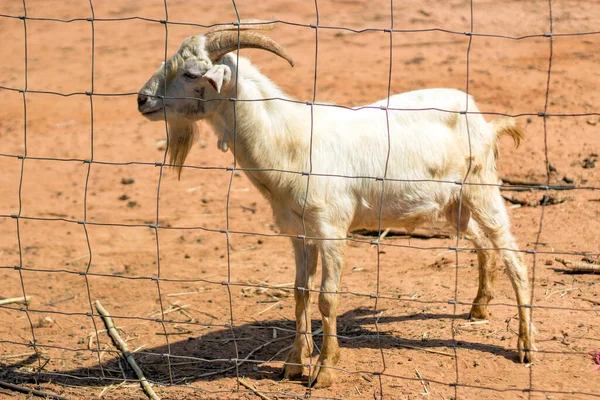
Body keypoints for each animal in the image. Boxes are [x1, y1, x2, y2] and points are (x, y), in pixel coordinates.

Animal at [138, 25, 536, 388]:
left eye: (191, 74)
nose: (142, 100)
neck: (291, 141)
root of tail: (482, 118)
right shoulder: (298, 233)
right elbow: (300, 293)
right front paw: (293, 364)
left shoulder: (331, 230)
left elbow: (328, 299)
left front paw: (324, 371)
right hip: (454, 204)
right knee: (482, 243)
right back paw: (478, 307)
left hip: (482, 188)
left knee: (513, 257)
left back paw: (525, 346)